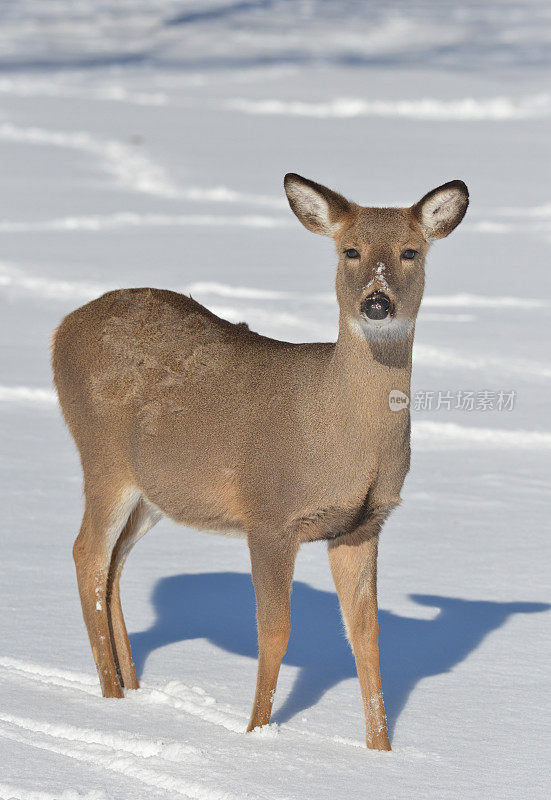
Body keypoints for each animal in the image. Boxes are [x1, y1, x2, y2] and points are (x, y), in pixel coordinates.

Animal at [51, 170, 468, 752]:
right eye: (350, 250)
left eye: (411, 251)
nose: (377, 303)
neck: (343, 443)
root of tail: (62, 327)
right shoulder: (271, 512)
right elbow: (275, 630)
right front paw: (256, 736)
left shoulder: (363, 524)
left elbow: (366, 634)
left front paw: (382, 752)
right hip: (102, 457)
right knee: (87, 553)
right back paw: (111, 700)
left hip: (154, 492)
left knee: (113, 566)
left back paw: (132, 690)